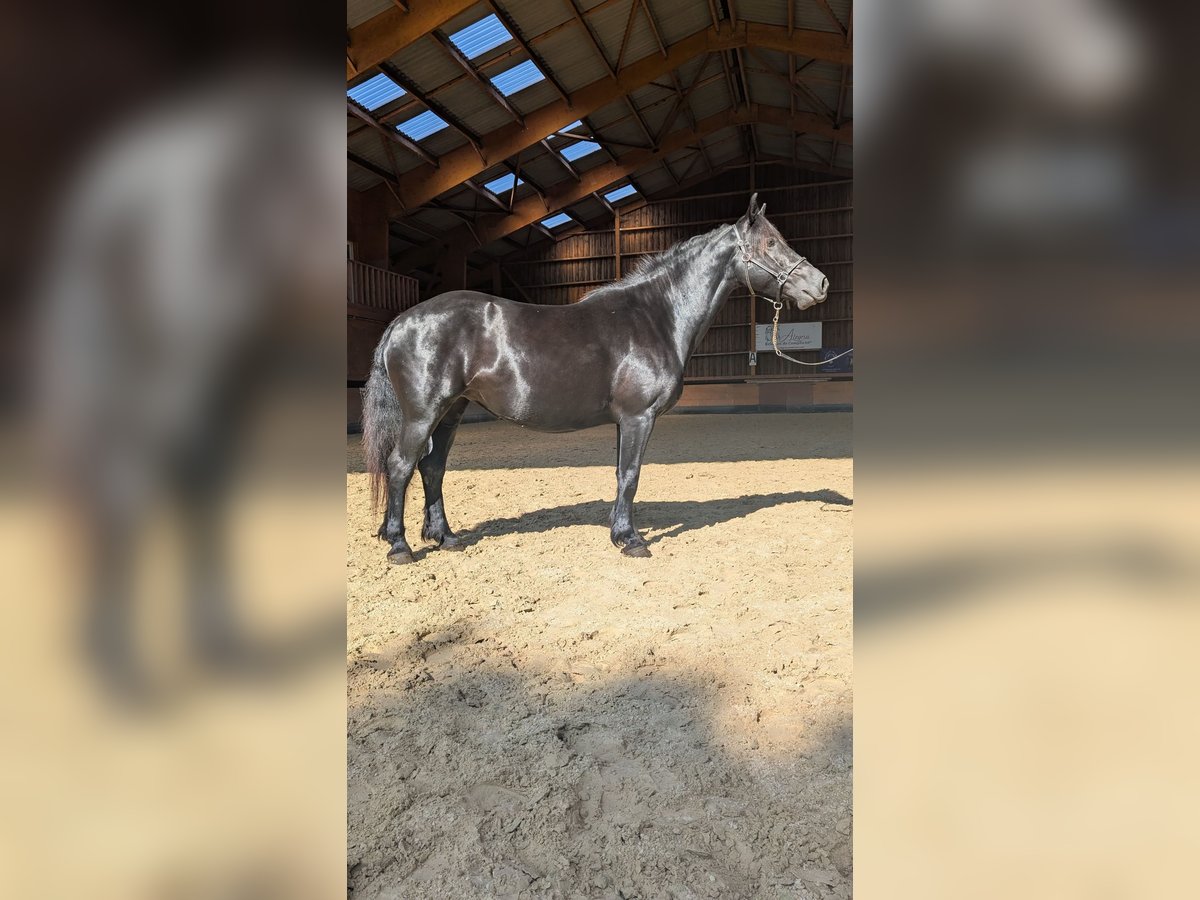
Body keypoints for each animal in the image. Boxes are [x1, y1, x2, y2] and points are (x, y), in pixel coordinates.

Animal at [363, 194, 829, 564]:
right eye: (771, 244)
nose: (820, 283)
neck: (657, 315)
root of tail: (402, 320)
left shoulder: (625, 420)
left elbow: (621, 473)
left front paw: (618, 533)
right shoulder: (639, 417)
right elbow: (631, 474)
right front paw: (632, 540)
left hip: (452, 411)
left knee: (433, 467)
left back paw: (445, 538)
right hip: (423, 414)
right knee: (401, 466)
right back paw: (400, 547)